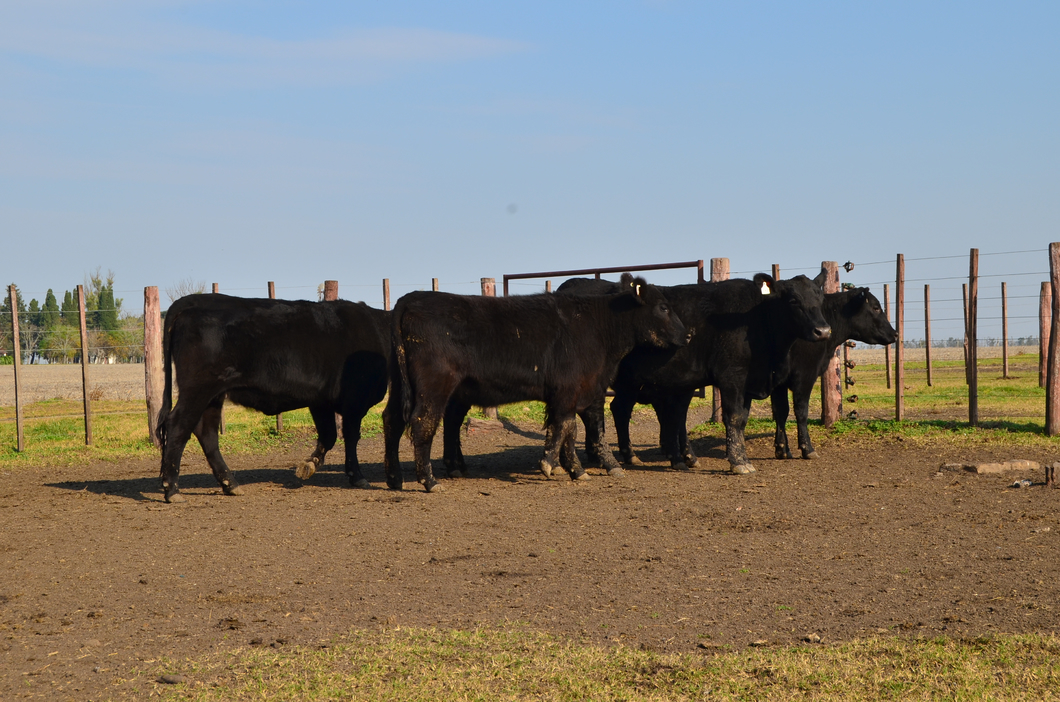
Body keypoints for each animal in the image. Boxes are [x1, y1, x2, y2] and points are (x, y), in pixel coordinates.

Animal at [156, 294, 390, 502]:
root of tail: (194, 300)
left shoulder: (320, 400)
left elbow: (329, 435)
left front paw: (309, 465)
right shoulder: (355, 400)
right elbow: (350, 437)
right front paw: (357, 477)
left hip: (213, 395)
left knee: (207, 433)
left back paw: (230, 484)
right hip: (198, 388)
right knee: (178, 425)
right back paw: (172, 490)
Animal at [385, 271, 691, 492]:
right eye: (663, 307)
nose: (688, 335)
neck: (597, 327)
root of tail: (411, 298)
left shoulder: (580, 390)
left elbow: (576, 429)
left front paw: (579, 469)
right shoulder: (569, 390)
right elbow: (566, 427)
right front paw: (551, 465)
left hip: (404, 385)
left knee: (393, 420)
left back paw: (395, 478)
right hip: (434, 385)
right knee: (423, 423)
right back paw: (429, 481)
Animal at [563, 271, 826, 475]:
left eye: (820, 296)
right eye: (793, 300)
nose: (823, 330)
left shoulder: (748, 381)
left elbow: (741, 420)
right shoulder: (732, 376)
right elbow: (733, 418)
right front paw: (739, 462)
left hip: (629, 382)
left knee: (619, 409)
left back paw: (627, 456)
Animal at [771, 288, 894, 462]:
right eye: (876, 307)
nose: (895, 334)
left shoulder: (778, 381)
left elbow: (781, 411)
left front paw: (782, 450)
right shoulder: (804, 375)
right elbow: (801, 411)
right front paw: (807, 448)